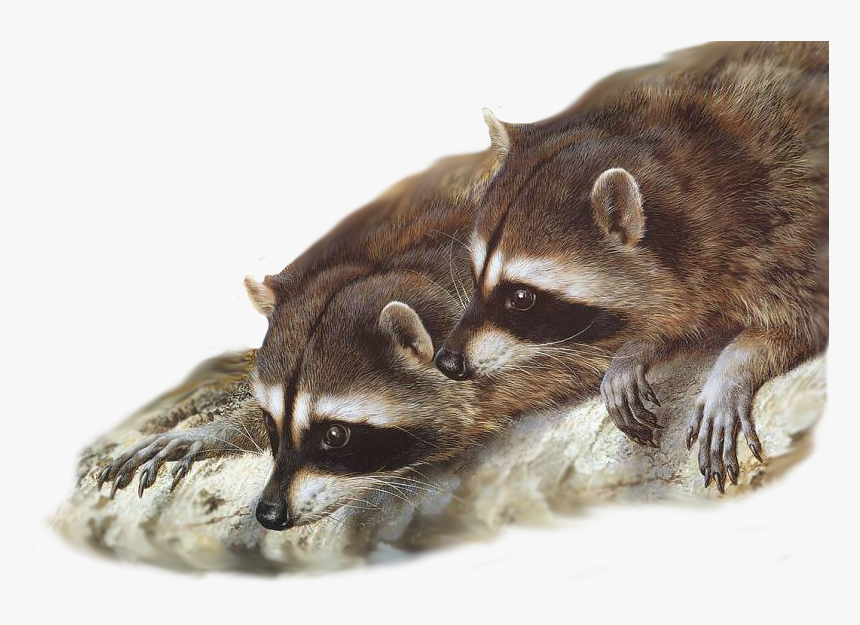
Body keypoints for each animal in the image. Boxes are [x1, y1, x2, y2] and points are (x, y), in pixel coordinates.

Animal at [435, 42, 829, 492]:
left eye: (521, 297)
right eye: (474, 272)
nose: (446, 361)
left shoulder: (791, 228)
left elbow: (803, 323)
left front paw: (733, 366)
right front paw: (638, 345)